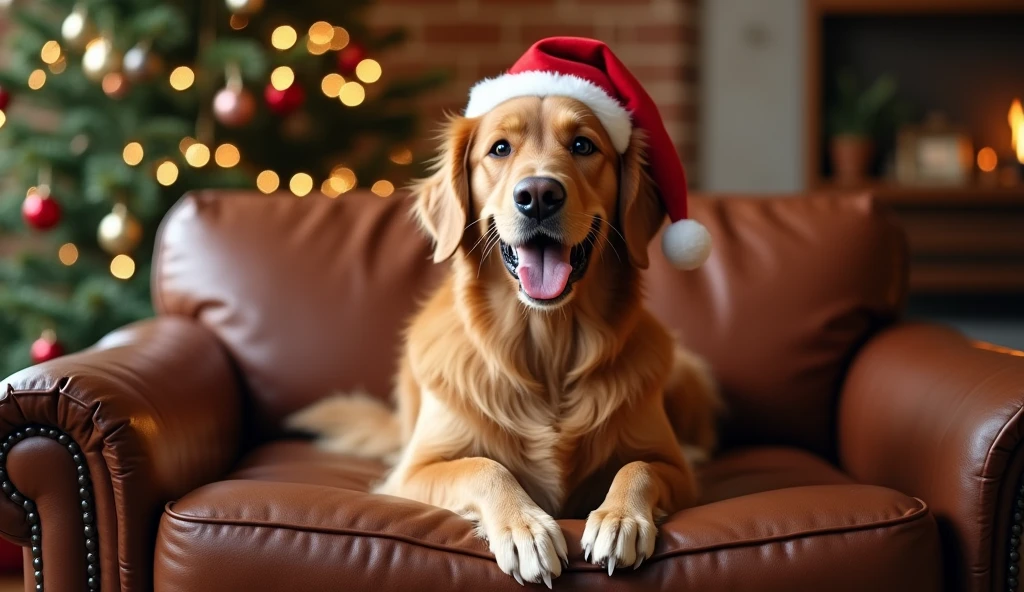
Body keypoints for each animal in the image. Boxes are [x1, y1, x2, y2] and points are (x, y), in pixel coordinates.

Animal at [288, 94, 720, 581]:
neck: (547, 347)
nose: (538, 195)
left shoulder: (675, 469)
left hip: (687, 369)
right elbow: (484, 467)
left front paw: (620, 518)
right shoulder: (412, 473)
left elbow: (640, 465)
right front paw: (525, 529)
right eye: (499, 149)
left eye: (583, 145)